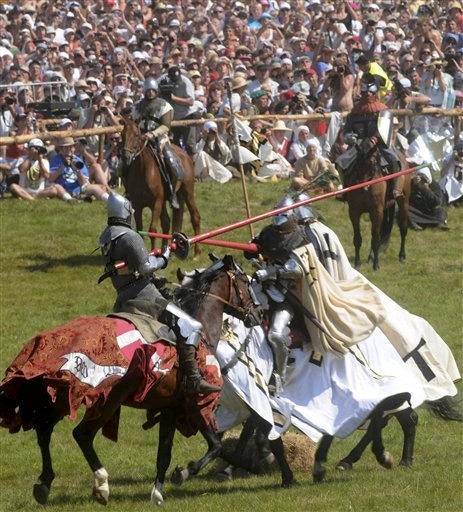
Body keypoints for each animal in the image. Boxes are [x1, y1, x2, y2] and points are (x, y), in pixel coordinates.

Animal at [119, 115, 201, 253]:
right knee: (167, 222)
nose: (126, 157)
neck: (143, 171)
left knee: (195, 217)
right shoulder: (137, 205)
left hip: (188, 192)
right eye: (122, 134)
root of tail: (185, 155)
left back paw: (197, 252)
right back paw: (165, 249)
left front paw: (153, 252)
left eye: (136, 135)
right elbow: (140, 230)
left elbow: (152, 230)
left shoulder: (156, 202)